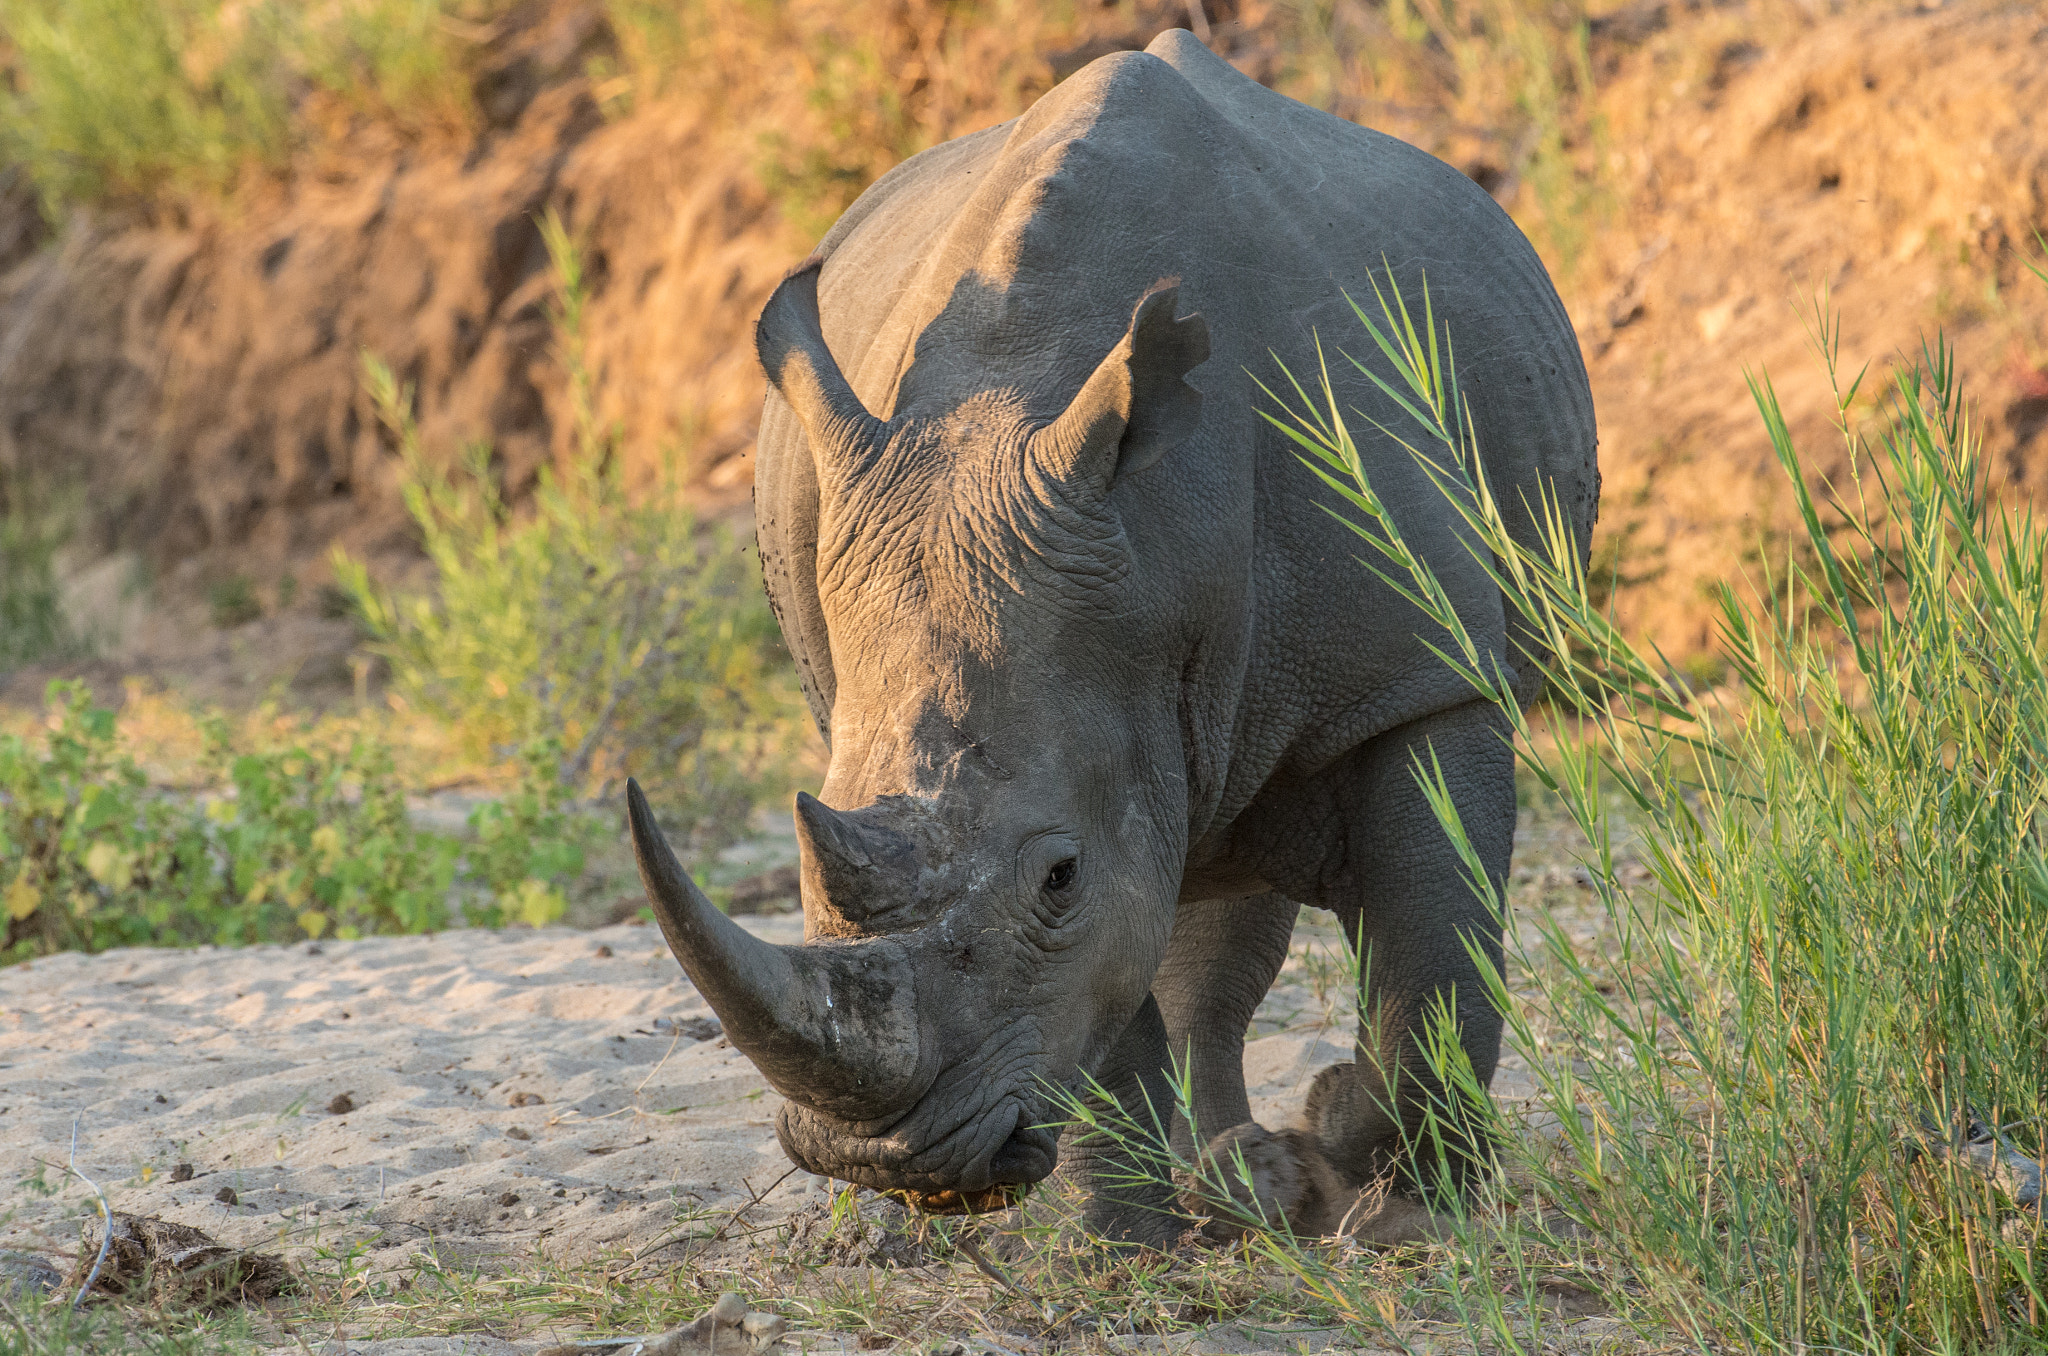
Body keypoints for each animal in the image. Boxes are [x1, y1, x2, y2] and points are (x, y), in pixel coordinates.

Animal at [628, 29, 1597, 1244]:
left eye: (1057, 877)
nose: (888, 1158)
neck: (1161, 538)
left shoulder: (1417, 673)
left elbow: (1437, 939)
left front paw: (1399, 1202)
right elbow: (1110, 984)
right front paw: (1129, 1244)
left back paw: (1270, 1179)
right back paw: (1235, 1188)